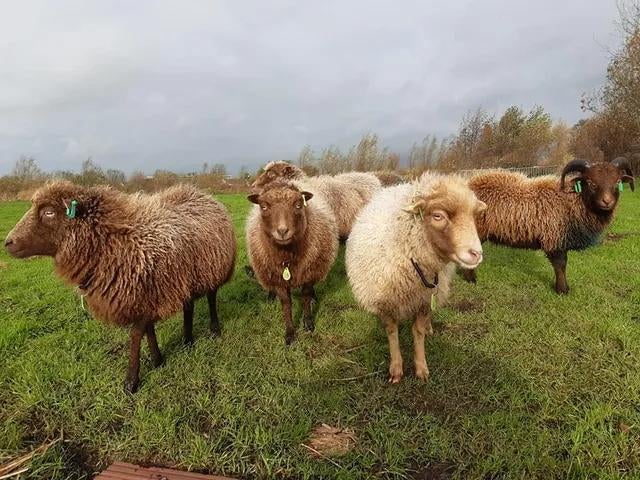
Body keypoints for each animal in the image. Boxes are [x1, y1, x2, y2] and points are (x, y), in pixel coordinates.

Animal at [4, 181, 236, 393]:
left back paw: (214, 329)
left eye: (49, 212)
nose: (8, 242)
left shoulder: (147, 294)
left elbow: (135, 335)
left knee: (211, 298)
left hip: (213, 269)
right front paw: (157, 360)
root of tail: (202, 193)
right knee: (189, 306)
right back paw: (187, 340)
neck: (114, 240)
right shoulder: (147, 296)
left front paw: (131, 381)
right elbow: (149, 330)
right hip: (187, 277)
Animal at [246, 181, 338, 344]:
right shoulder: (278, 279)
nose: (282, 231)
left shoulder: (309, 273)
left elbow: (305, 297)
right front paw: (290, 333)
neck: (287, 257)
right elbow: (286, 304)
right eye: (263, 206)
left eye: (298, 205)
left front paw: (308, 323)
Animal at [346, 173, 486, 383]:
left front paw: (421, 368)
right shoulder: (385, 302)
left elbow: (417, 332)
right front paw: (396, 369)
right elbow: (392, 332)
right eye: (438, 216)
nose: (476, 254)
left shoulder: (423, 301)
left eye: (473, 216)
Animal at [461, 158, 635, 294]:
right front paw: (562, 290)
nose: (607, 202)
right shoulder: (554, 239)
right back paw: (471, 280)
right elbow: (560, 266)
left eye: (617, 182)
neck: (572, 200)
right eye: (591, 182)